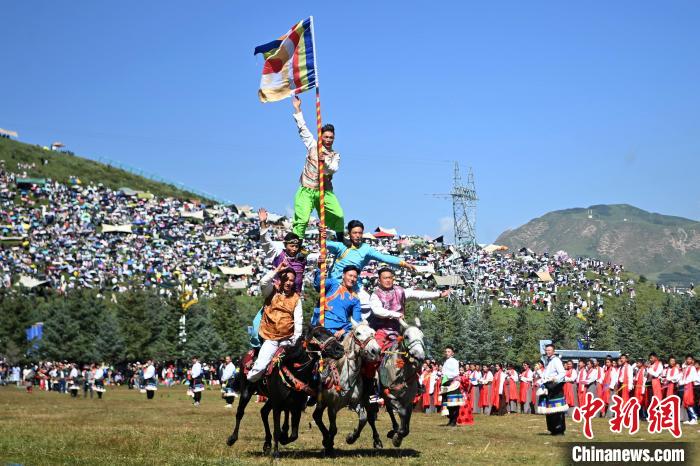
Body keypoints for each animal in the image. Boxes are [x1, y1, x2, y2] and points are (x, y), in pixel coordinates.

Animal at [226, 326, 344, 457]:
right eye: (317, 335)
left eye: (331, 333)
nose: (340, 349)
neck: (295, 370)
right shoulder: (278, 405)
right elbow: (277, 430)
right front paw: (276, 452)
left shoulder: (296, 406)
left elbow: (294, 434)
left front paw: (283, 437)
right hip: (247, 392)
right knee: (240, 413)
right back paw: (232, 438)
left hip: (271, 399)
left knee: (263, 412)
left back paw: (267, 443)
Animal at [312, 318, 381, 457]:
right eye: (358, 333)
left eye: (373, 332)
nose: (375, 351)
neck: (345, 377)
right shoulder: (332, 406)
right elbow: (333, 428)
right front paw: (329, 446)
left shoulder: (356, 403)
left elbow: (363, 419)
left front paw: (351, 438)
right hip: (322, 402)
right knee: (317, 417)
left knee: (371, 418)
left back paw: (377, 441)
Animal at [351, 318, 426, 448]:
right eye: (406, 336)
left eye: (422, 336)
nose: (420, 357)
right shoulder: (394, 399)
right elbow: (402, 419)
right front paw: (397, 438)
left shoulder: (408, 401)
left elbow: (406, 426)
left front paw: (396, 434)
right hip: (368, 397)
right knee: (370, 418)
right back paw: (374, 439)